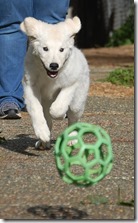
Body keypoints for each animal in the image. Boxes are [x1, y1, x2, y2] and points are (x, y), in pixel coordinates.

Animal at [20, 16, 89, 148]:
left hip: (77, 102)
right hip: (46, 103)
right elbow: (36, 110)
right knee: (48, 119)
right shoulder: (30, 86)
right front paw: (42, 132)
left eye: (61, 49)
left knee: (73, 119)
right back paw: (43, 142)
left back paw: (72, 137)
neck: (49, 76)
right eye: (45, 48)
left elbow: (58, 107)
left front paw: (60, 114)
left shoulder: (70, 83)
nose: (54, 65)